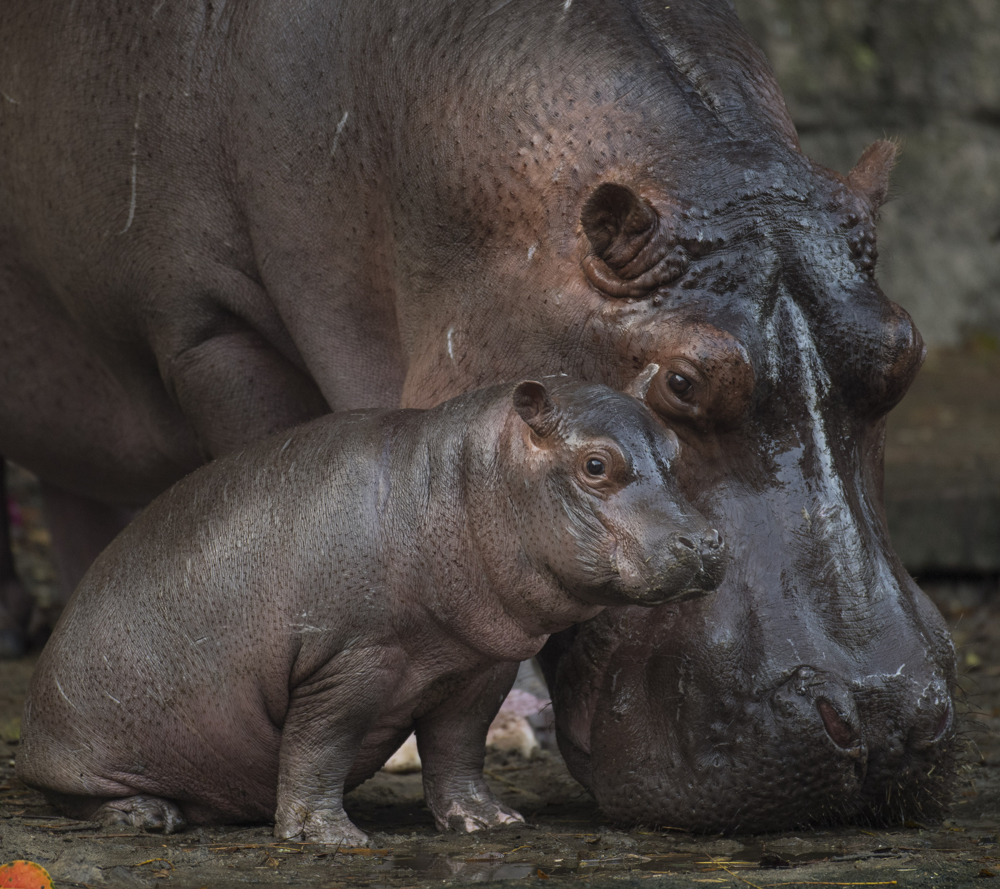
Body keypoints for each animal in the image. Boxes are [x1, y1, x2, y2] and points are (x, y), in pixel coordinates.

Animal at [19, 378, 724, 844]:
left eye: (675, 451)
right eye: (596, 463)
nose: (708, 542)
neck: (462, 485)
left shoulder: (481, 666)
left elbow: (458, 747)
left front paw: (488, 822)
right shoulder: (349, 660)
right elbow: (320, 746)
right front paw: (329, 839)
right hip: (81, 752)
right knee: (75, 797)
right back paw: (147, 816)